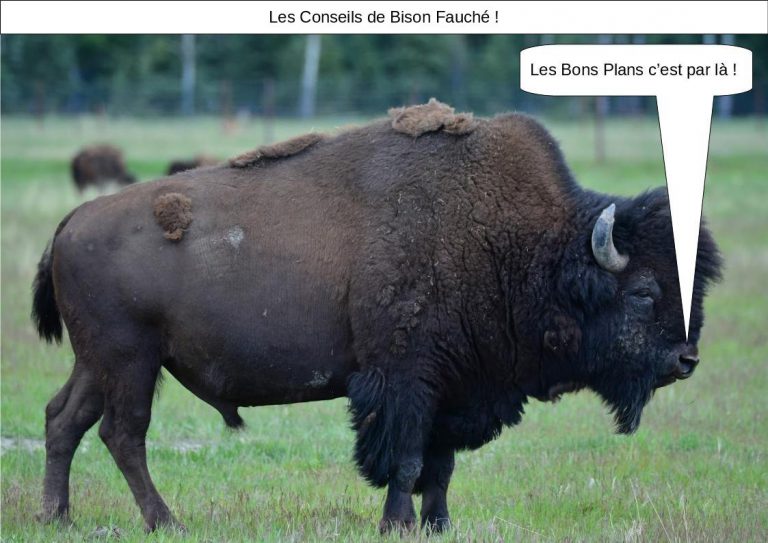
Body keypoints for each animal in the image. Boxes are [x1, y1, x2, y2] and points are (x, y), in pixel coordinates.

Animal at [33, 100, 721, 533]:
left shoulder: (455, 387)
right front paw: (398, 524)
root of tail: (69, 223)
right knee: (123, 434)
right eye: (643, 293)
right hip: (132, 361)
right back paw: (166, 521)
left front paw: (440, 524)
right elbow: (408, 460)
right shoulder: (406, 381)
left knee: (64, 420)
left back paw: (58, 517)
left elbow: (440, 466)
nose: (686, 360)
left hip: (97, 363)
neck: (520, 244)